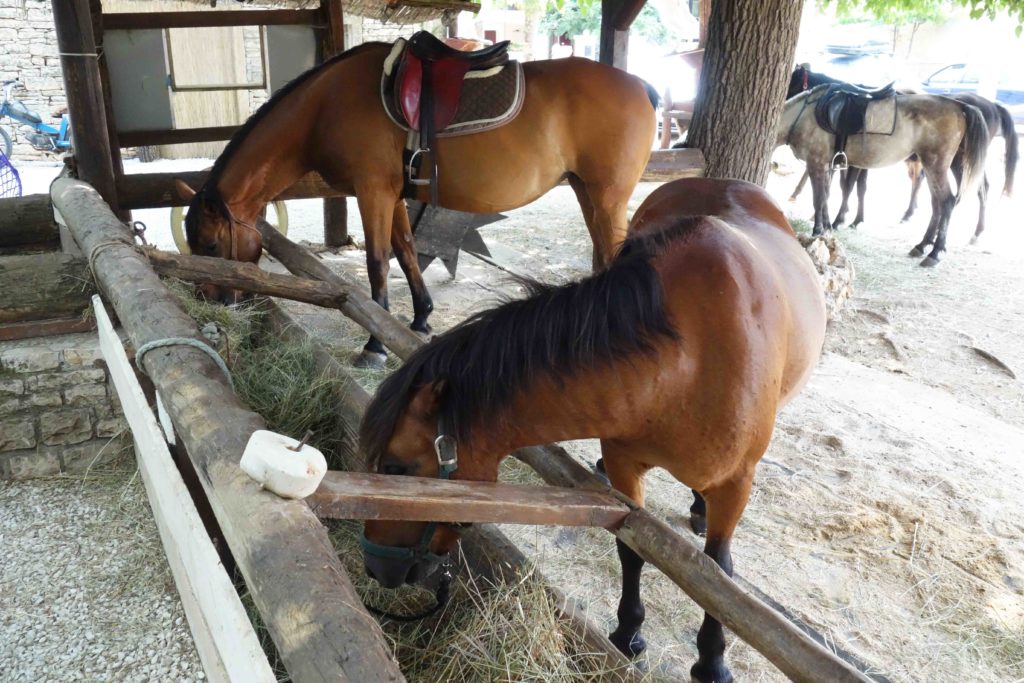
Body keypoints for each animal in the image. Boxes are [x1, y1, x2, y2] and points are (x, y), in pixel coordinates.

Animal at [356, 179, 827, 679]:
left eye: (396, 467)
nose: (374, 568)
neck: (688, 358)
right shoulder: (625, 466)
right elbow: (633, 547)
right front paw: (628, 632)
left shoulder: (736, 484)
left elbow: (720, 579)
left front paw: (712, 661)